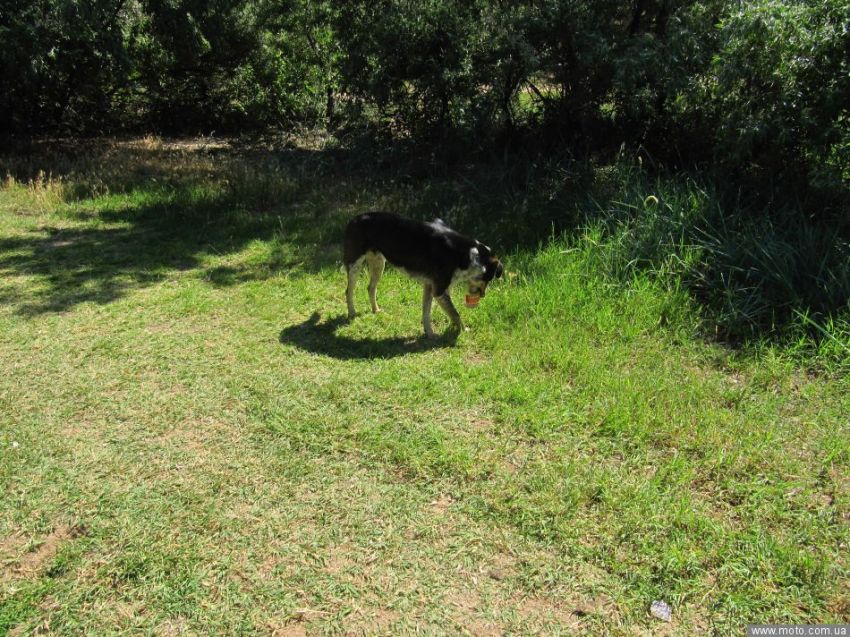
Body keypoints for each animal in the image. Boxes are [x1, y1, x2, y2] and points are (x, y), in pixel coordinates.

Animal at [344, 211, 500, 336]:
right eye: (488, 279)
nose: (483, 296)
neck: (468, 254)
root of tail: (353, 219)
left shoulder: (429, 286)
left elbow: (427, 312)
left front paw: (429, 333)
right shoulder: (439, 291)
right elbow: (455, 314)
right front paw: (464, 330)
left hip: (378, 264)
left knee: (370, 288)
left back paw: (376, 310)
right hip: (355, 266)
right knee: (348, 291)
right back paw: (352, 314)